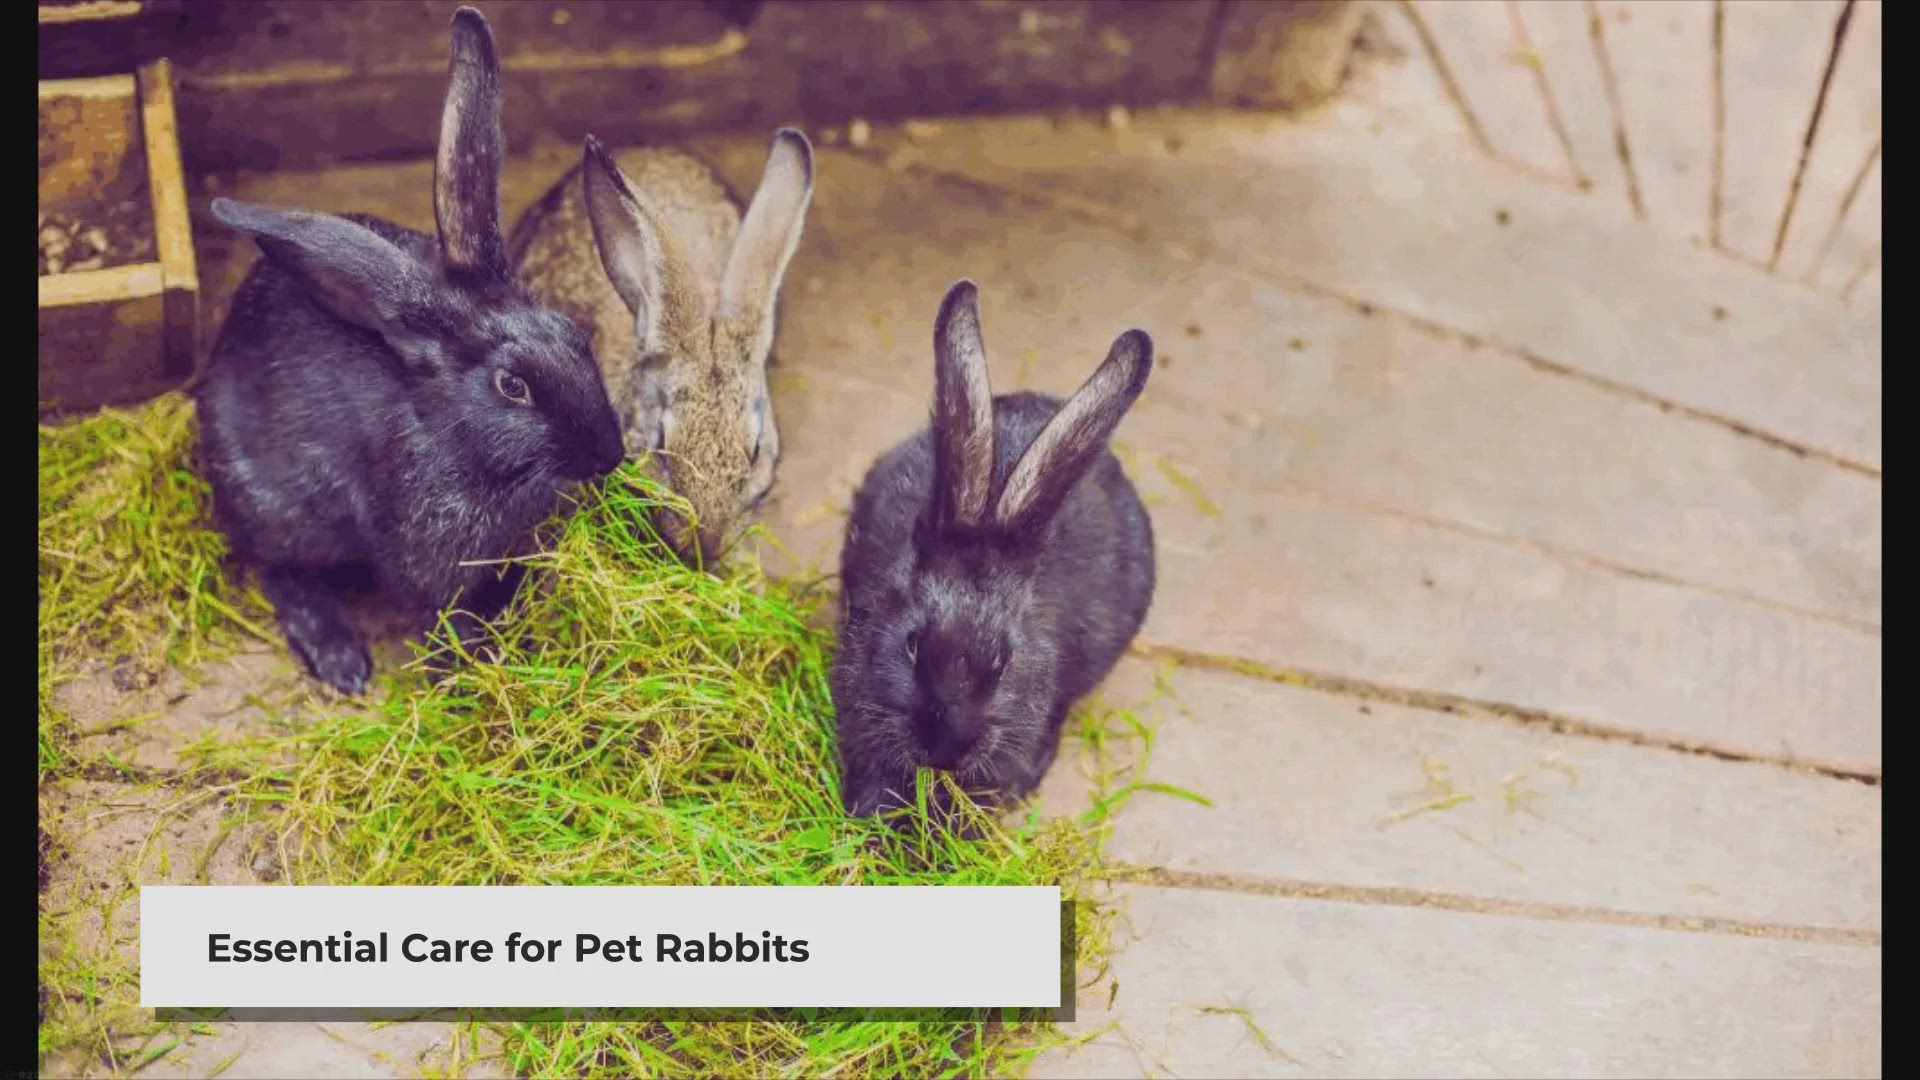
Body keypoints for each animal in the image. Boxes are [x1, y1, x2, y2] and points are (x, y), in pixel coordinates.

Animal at [193, 7, 625, 695]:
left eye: (573, 334)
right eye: (512, 386)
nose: (610, 455)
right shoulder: (422, 556)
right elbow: (438, 612)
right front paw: (473, 669)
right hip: (275, 508)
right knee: (278, 569)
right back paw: (339, 659)